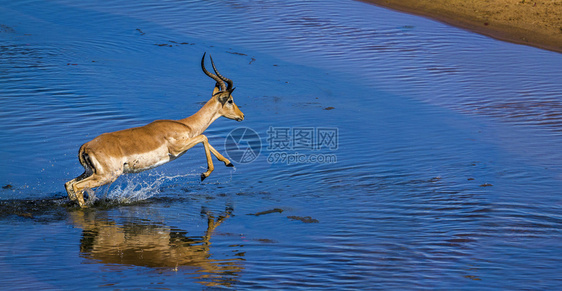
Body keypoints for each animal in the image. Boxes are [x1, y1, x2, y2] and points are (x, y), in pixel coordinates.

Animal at [64, 53, 243, 209]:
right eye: (230, 100)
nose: (242, 115)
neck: (186, 125)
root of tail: (85, 146)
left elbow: (204, 139)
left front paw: (228, 162)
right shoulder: (177, 148)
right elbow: (204, 137)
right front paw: (204, 174)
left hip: (90, 172)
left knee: (69, 184)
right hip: (107, 176)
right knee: (77, 186)